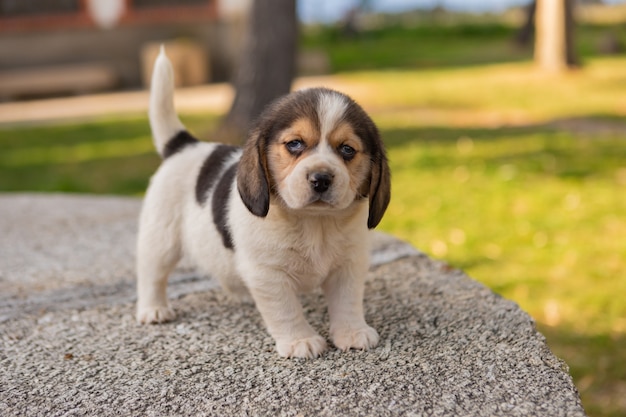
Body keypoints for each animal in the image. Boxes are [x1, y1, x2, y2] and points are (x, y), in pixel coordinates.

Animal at [138, 48, 386, 358]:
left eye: (347, 150)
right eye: (294, 144)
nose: (321, 179)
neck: (314, 223)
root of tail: (184, 145)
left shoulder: (349, 267)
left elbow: (347, 303)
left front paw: (352, 332)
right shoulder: (269, 274)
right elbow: (286, 310)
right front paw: (300, 340)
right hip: (161, 239)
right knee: (152, 274)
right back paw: (153, 309)